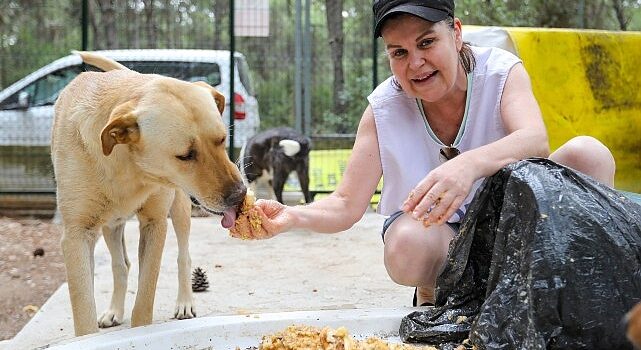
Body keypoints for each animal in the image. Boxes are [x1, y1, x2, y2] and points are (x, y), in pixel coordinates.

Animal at [50, 52, 244, 336]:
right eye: (185, 155)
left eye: (221, 140)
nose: (240, 196)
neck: (127, 166)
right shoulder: (77, 235)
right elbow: (83, 308)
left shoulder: (154, 223)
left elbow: (144, 297)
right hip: (110, 225)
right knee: (121, 265)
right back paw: (114, 311)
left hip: (180, 210)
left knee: (184, 257)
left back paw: (185, 302)